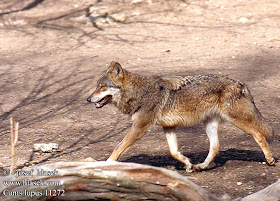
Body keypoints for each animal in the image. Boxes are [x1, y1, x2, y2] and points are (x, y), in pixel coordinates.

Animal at [86, 60, 274, 171]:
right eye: (97, 86)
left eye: (102, 87)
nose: (88, 99)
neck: (139, 93)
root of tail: (241, 84)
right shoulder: (169, 127)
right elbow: (173, 151)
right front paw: (188, 164)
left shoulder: (139, 128)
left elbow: (117, 149)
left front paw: (105, 166)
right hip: (210, 125)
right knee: (215, 147)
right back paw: (201, 166)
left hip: (238, 121)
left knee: (259, 135)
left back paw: (270, 159)